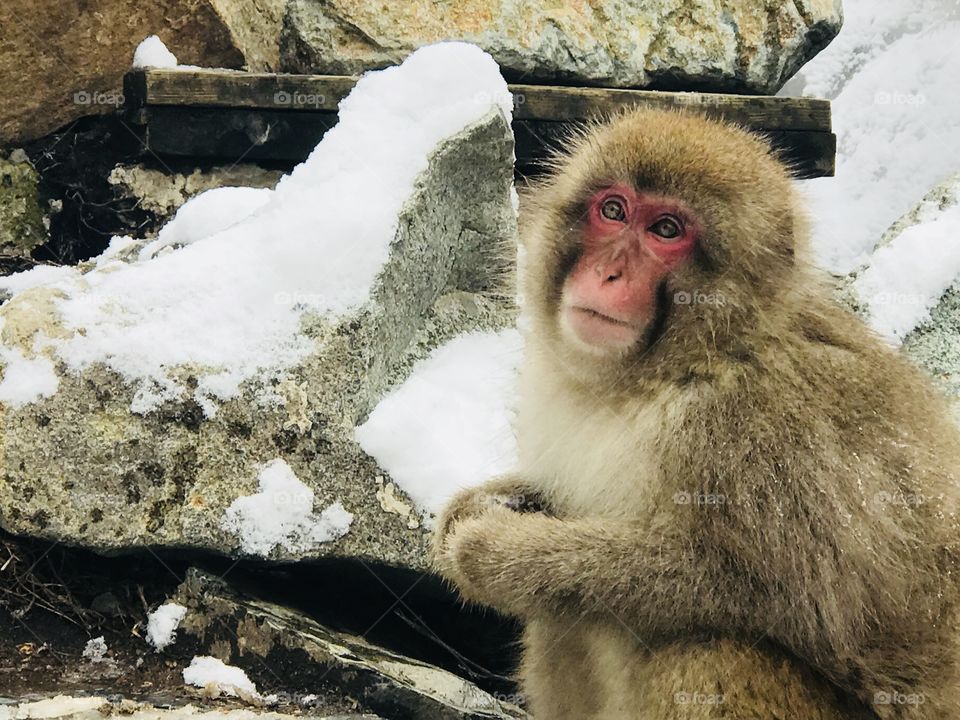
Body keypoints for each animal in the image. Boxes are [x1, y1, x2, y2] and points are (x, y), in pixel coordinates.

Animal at [434, 108, 960, 720]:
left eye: (667, 230)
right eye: (613, 210)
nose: (608, 273)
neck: (675, 370)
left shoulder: (762, 432)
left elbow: (767, 597)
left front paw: (495, 553)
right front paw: (483, 505)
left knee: (709, 647)